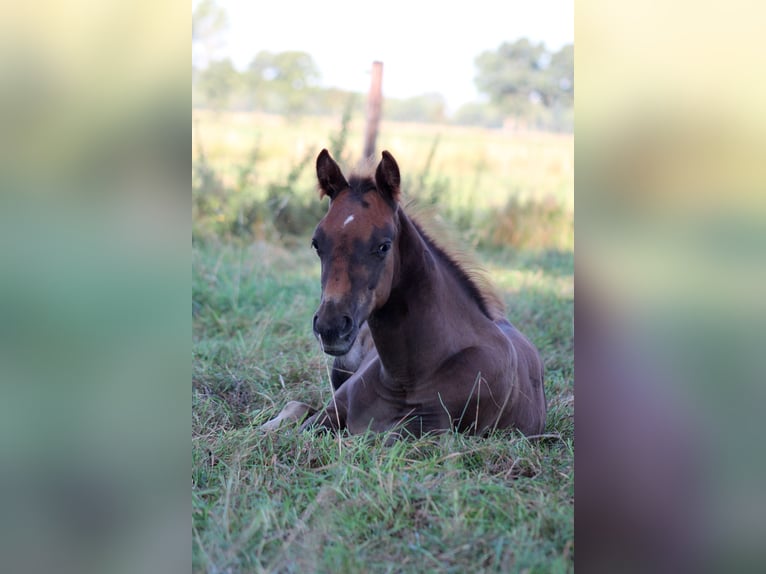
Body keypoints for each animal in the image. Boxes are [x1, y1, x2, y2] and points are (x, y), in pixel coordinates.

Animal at [261, 149, 546, 438]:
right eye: (316, 243)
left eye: (384, 245)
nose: (331, 327)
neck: (404, 378)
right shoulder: (332, 411)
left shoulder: (426, 431)